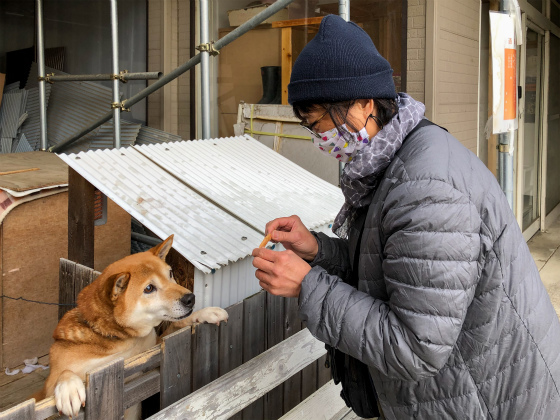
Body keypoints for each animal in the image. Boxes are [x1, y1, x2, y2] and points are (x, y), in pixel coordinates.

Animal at [33, 235, 228, 418]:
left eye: (170, 274)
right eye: (149, 288)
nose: (190, 298)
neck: (123, 337)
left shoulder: (153, 357)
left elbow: (176, 325)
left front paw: (205, 313)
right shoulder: (46, 393)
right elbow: (63, 373)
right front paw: (68, 388)